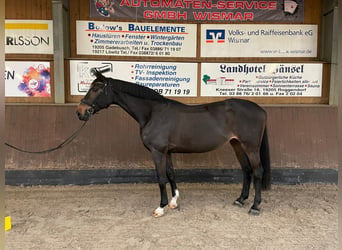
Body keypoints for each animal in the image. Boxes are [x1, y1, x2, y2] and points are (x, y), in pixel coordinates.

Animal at [76, 70, 272, 217]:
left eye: (95, 89)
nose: (80, 112)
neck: (152, 113)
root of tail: (260, 110)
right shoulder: (166, 151)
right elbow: (171, 174)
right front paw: (173, 202)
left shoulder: (157, 151)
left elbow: (161, 178)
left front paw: (160, 207)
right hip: (237, 144)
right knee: (247, 170)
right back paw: (240, 200)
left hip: (251, 147)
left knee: (257, 172)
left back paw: (255, 207)